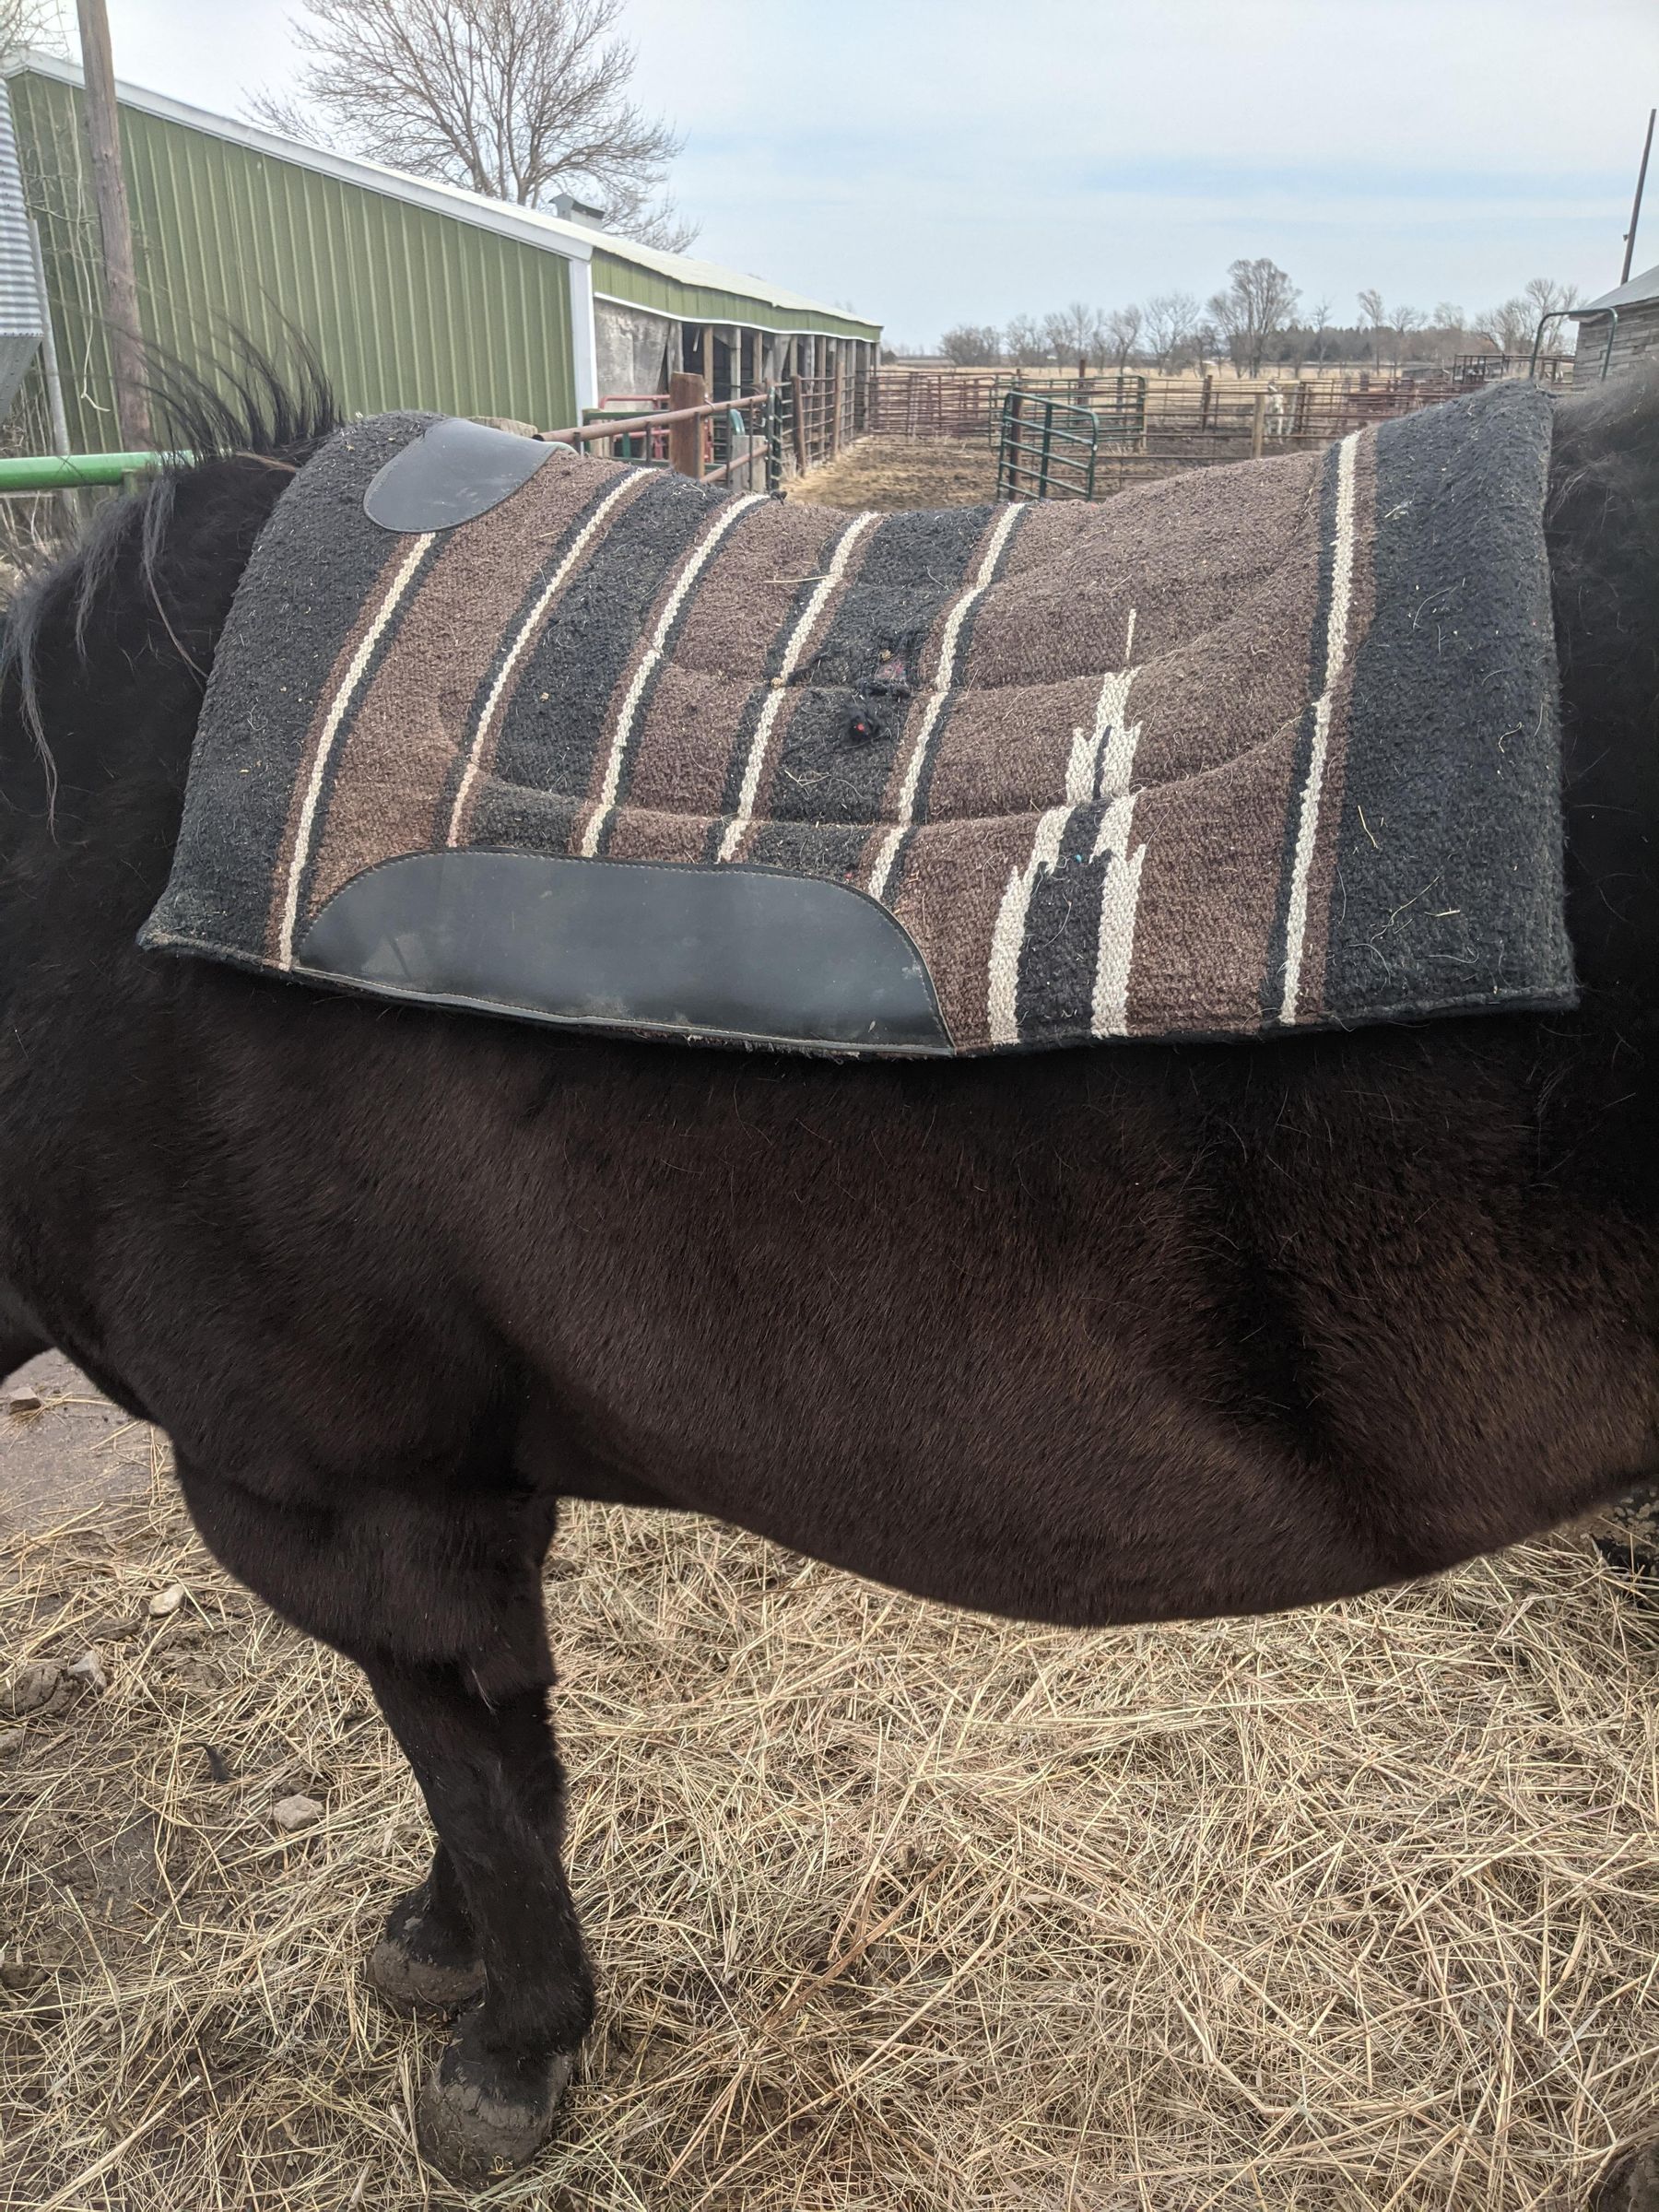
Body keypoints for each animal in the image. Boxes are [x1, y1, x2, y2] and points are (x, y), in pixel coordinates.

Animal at [1, 362, 1655, 2192]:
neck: (83, 924)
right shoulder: (466, 1487)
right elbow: (489, 1761)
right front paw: (442, 1948)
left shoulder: (358, 1494)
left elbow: (482, 1780)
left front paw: (511, 2050)